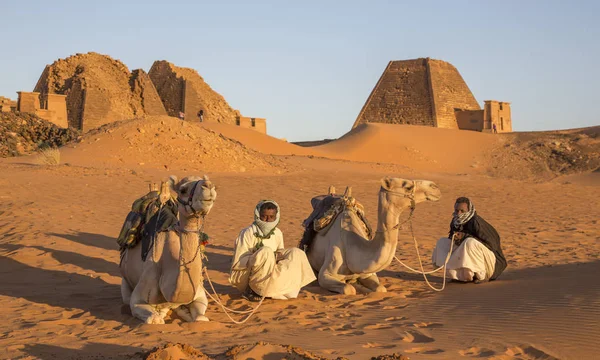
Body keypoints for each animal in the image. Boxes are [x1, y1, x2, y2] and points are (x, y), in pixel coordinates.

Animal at [118, 176, 217, 324]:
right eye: (183, 190)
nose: (209, 185)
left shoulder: (199, 294)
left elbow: (201, 318)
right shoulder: (138, 298)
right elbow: (154, 318)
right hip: (124, 281)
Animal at [304, 176, 440, 294]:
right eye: (407, 186)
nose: (435, 186)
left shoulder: (368, 274)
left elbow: (380, 289)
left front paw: (358, 284)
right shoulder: (325, 274)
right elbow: (349, 289)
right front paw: (353, 284)